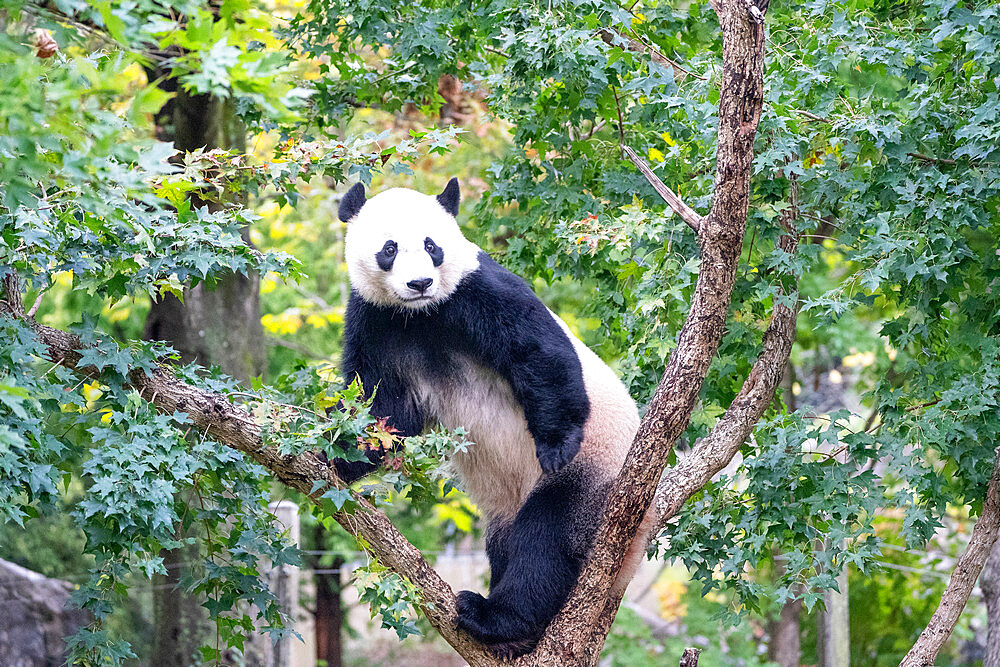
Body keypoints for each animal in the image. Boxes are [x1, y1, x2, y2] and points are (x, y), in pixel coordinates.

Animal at [332, 179, 652, 656]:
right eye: (389, 248)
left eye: (431, 246)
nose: (420, 282)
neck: (420, 315)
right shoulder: (375, 319)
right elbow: (383, 409)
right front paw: (336, 454)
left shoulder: (477, 291)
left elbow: (538, 352)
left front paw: (556, 441)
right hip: (509, 506)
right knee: (508, 543)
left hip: (600, 476)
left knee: (548, 540)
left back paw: (494, 617)